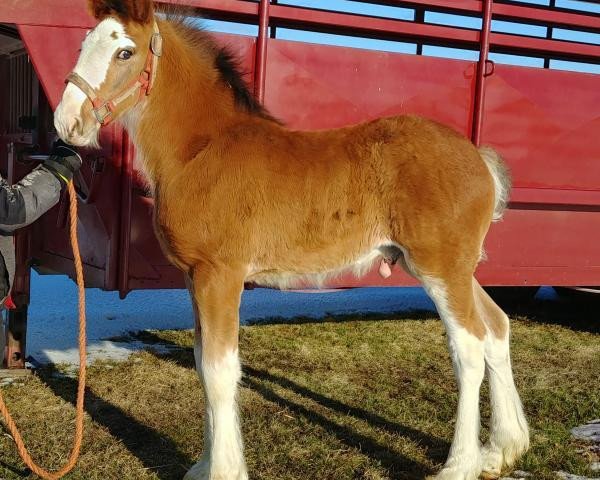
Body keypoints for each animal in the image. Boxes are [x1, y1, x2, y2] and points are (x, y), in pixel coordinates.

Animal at [54, 1, 528, 478]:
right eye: (82, 45)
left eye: (125, 52)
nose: (67, 121)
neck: (202, 150)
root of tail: (478, 158)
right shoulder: (194, 277)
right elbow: (202, 362)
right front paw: (204, 466)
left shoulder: (219, 275)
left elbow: (218, 371)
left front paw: (223, 470)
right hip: (458, 267)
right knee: (496, 327)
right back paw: (503, 448)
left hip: (439, 267)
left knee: (468, 347)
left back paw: (460, 464)